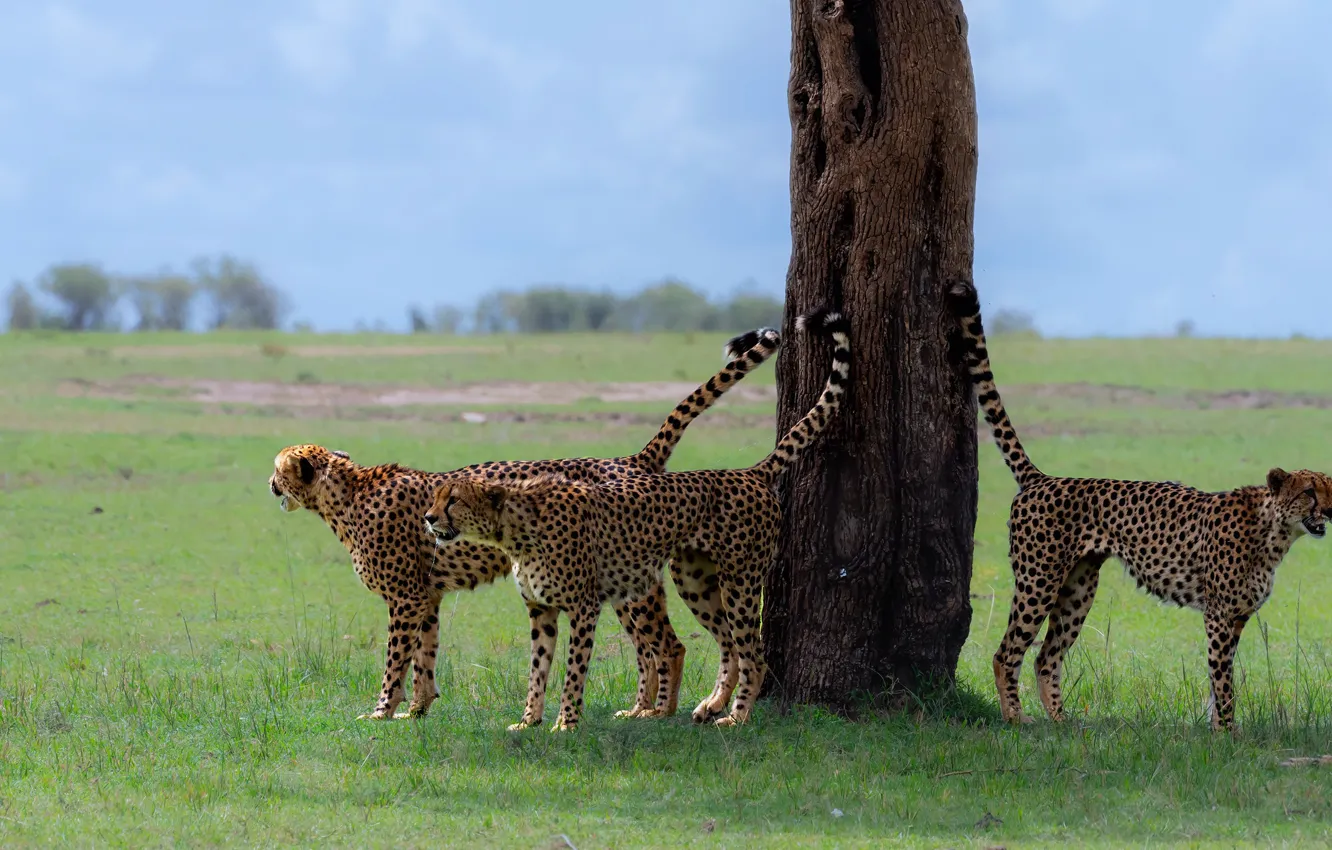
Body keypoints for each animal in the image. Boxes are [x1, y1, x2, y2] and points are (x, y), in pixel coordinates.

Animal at [268, 326, 781, 721]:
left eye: (278, 467)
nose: (270, 484)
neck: (346, 493)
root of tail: (630, 460)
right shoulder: (427, 596)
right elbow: (425, 658)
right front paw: (418, 710)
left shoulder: (405, 597)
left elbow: (396, 661)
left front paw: (381, 714)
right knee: (673, 645)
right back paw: (659, 708)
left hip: (633, 583)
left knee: (671, 645)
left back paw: (659, 712)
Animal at [425, 308, 850, 731]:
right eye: (436, 497)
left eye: (454, 500)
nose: (428, 518)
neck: (514, 531)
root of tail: (750, 472)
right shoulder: (540, 610)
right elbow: (537, 668)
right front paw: (529, 721)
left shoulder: (583, 605)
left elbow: (574, 668)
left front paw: (566, 723)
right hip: (694, 581)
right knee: (726, 643)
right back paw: (709, 705)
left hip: (738, 582)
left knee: (750, 652)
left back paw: (735, 715)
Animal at [949, 279, 1332, 731]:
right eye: (1309, 492)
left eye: (1329, 488)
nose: (1329, 511)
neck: (1275, 534)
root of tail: (1042, 478)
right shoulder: (1220, 614)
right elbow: (1223, 679)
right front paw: (1226, 733)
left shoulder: (1236, 616)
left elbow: (1218, 678)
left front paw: (1217, 728)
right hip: (1038, 579)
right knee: (1006, 652)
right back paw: (1015, 719)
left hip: (1078, 588)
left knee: (1047, 656)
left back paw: (1061, 721)